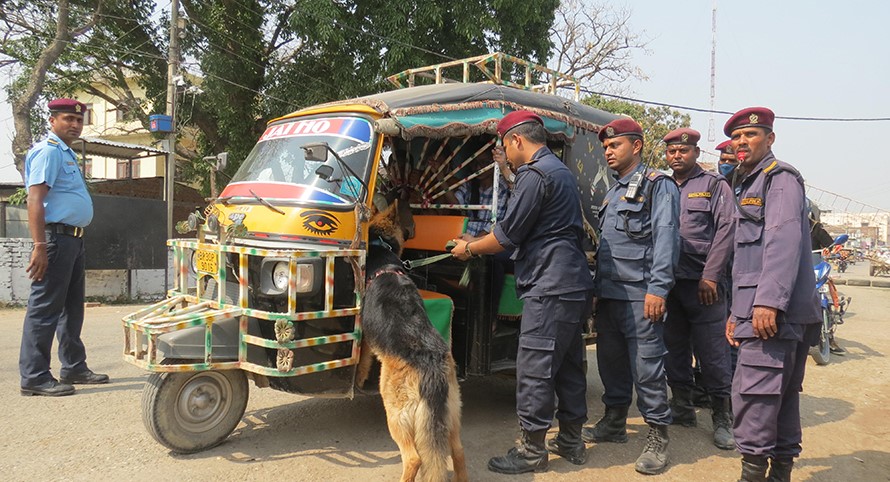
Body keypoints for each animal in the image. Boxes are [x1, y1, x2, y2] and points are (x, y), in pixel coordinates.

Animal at [356, 202, 468, 482]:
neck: (382, 250)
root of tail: (432, 369)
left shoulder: (365, 340)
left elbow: (362, 361)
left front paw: (359, 380)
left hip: (396, 414)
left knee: (414, 458)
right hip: (450, 414)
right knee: (458, 452)